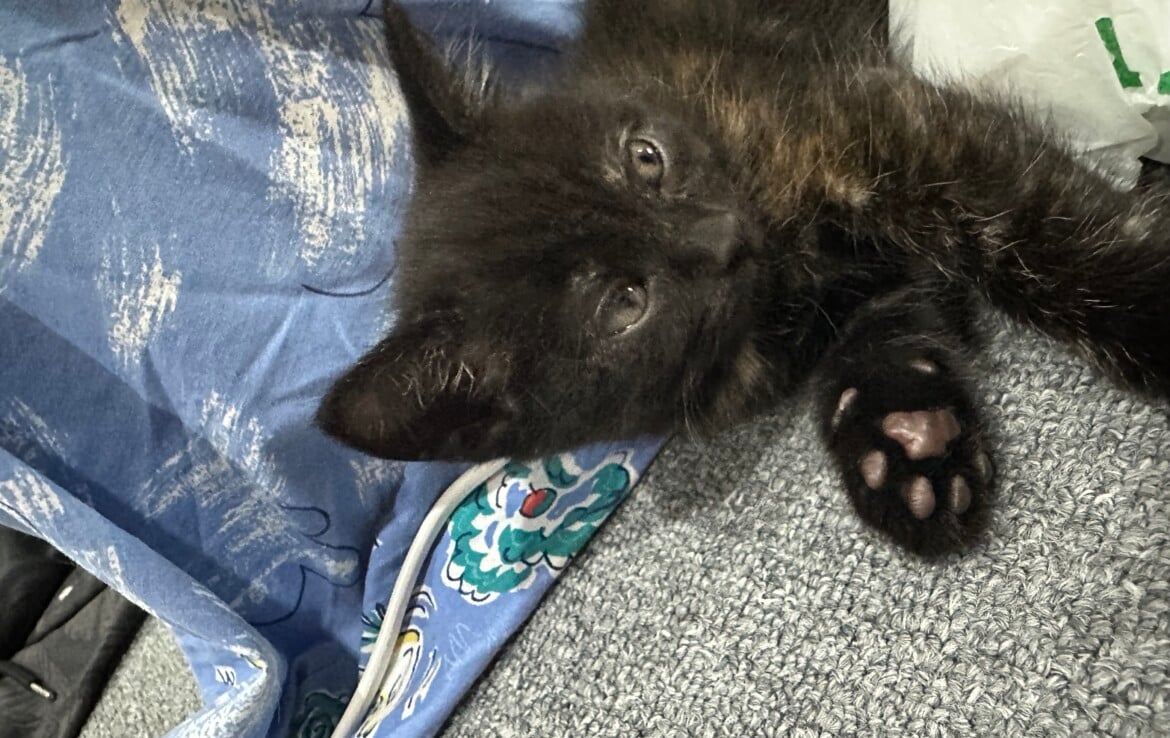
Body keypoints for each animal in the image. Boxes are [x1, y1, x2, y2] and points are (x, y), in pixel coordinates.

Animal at [317, 0, 1170, 555]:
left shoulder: (883, 121)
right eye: (624, 303)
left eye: (647, 158)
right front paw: (906, 439)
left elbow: (1031, 219)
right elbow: (880, 323)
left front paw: (1149, 304)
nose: (724, 235)